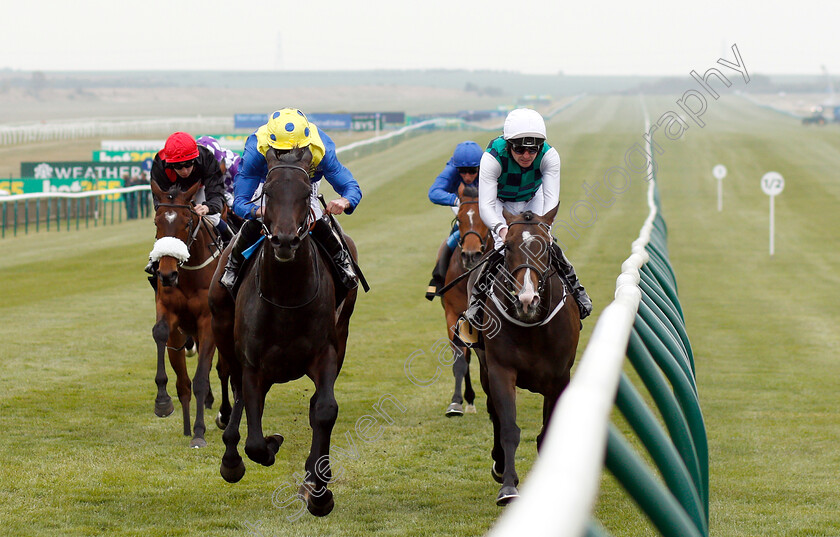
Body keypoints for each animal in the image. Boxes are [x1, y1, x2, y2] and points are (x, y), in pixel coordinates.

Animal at [149, 180, 230, 448]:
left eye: (186, 222)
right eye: (157, 222)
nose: (167, 273)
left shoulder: (208, 322)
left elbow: (201, 380)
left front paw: (199, 433)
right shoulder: (168, 310)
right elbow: (160, 333)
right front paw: (163, 402)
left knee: (225, 370)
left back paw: (226, 415)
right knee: (184, 380)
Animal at [209, 146, 358, 516]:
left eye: (305, 194)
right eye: (269, 191)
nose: (286, 240)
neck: (287, 297)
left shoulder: (325, 354)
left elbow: (324, 410)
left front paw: (319, 492)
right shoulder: (253, 364)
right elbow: (254, 439)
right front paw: (266, 446)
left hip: (343, 331)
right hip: (223, 331)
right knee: (236, 392)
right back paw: (230, 457)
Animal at [470, 203, 580, 504]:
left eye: (546, 246)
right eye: (507, 246)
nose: (526, 300)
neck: (533, 327)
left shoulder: (559, 377)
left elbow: (547, 432)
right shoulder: (500, 370)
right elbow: (508, 427)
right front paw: (508, 485)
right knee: (493, 412)